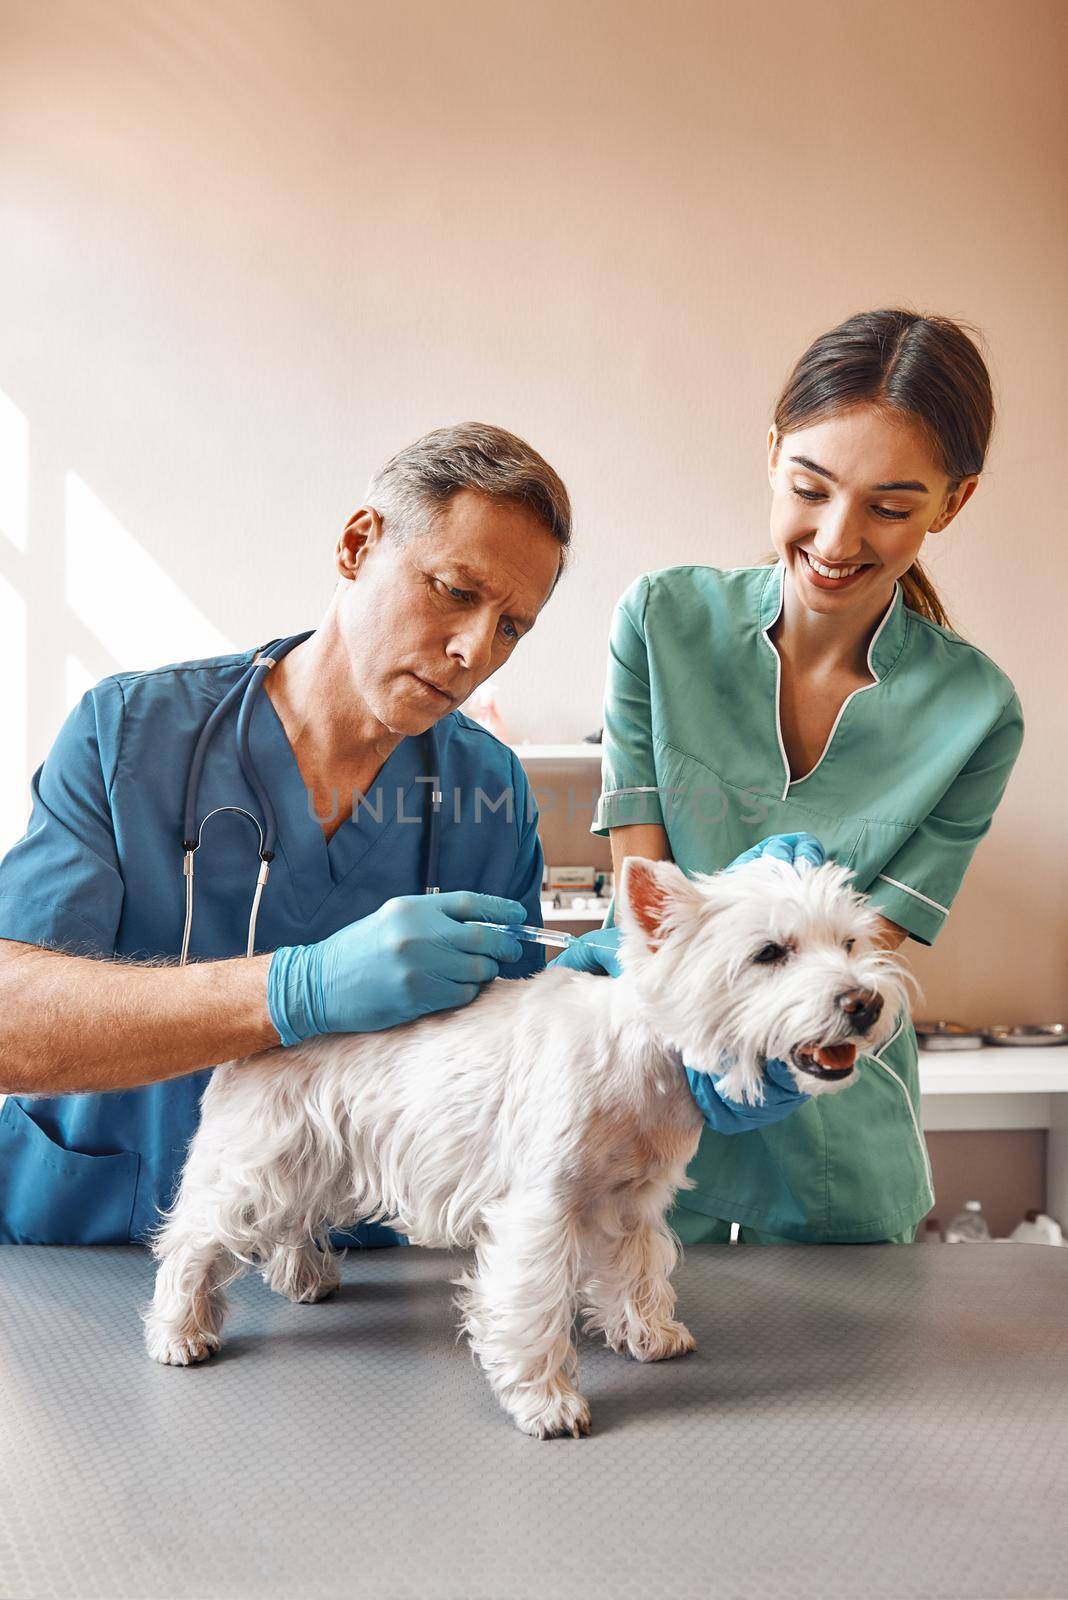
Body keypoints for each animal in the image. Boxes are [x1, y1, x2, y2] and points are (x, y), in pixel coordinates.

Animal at [141, 857, 908, 1446]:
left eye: (849, 943)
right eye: (769, 953)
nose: (864, 1002)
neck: (645, 1058)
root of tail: (261, 1029)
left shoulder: (634, 1201)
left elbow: (639, 1270)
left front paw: (651, 1333)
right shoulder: (542, 1208)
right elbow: (533, 1305)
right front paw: (549, 1405)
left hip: (314, 1160)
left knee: (291, 1224)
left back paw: (304, 1278)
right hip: (257, 1163)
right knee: (193, 1240)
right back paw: (180, 1333)